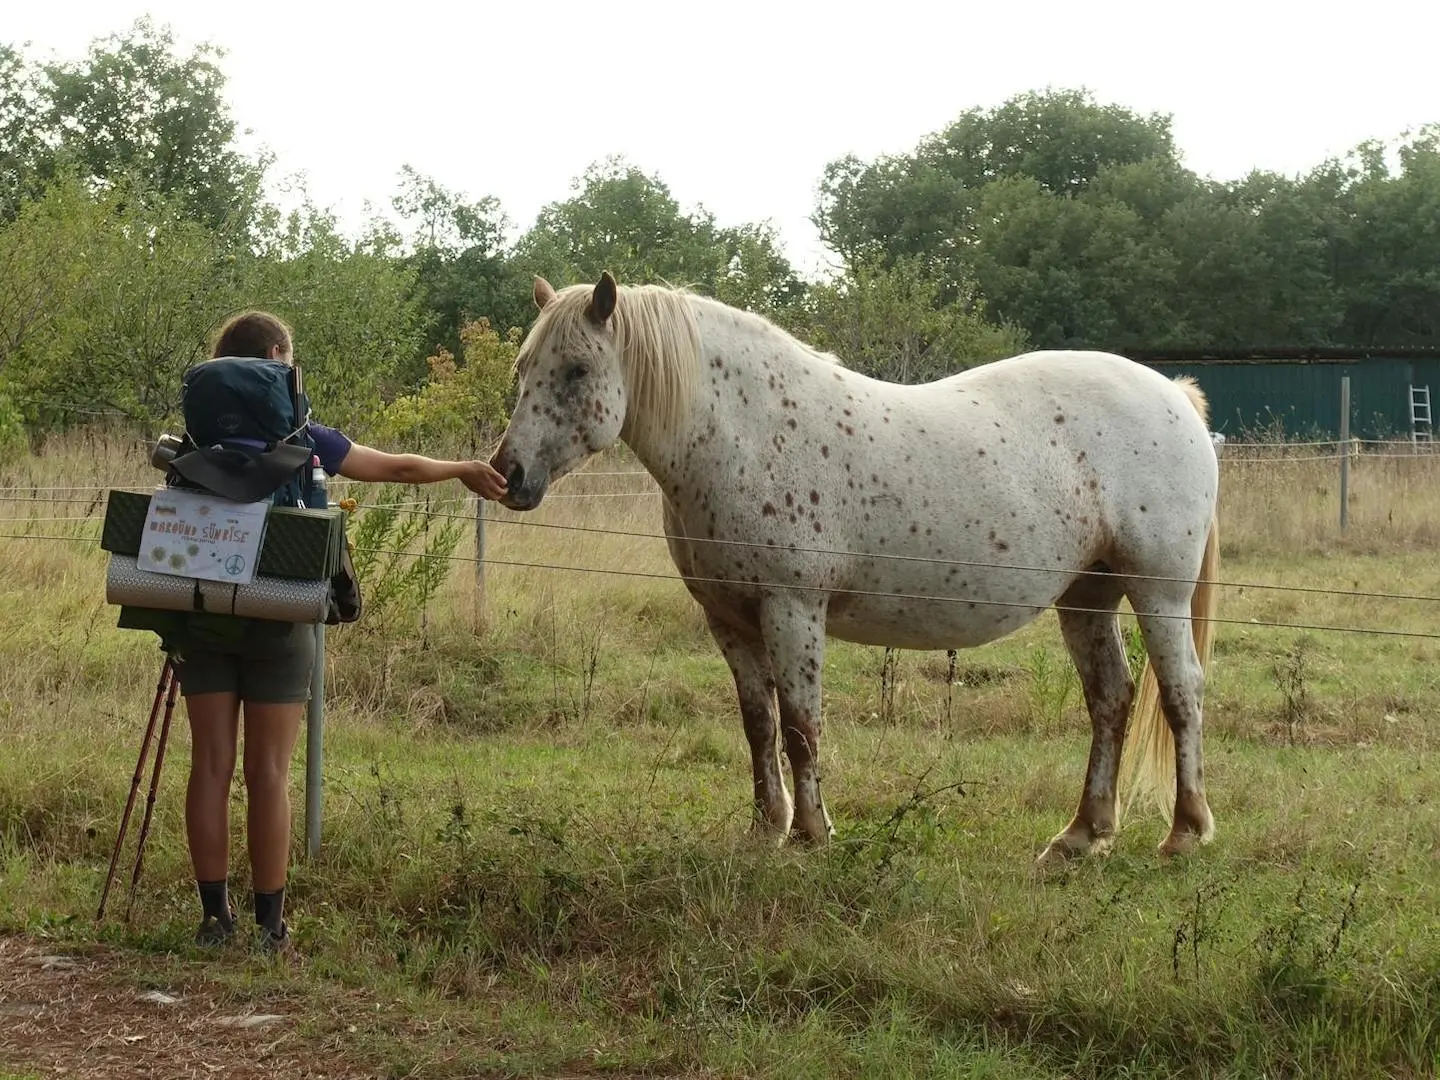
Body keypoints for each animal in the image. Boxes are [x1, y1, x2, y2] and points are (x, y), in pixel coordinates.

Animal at [489, 272, 1221, 869]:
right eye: (525, 366)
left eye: (576, 370)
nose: (508, 475)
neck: (743, 436)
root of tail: (1174, 395)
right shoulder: (729, 619)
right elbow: (759, 725)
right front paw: (765, 829)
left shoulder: (792, 609)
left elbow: (801, 724)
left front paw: (811, 834)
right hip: (1087, 597)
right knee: (1112, 698)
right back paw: (1080, 835)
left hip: (1158, 592)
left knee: (1181, 693)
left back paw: (1184, 832)